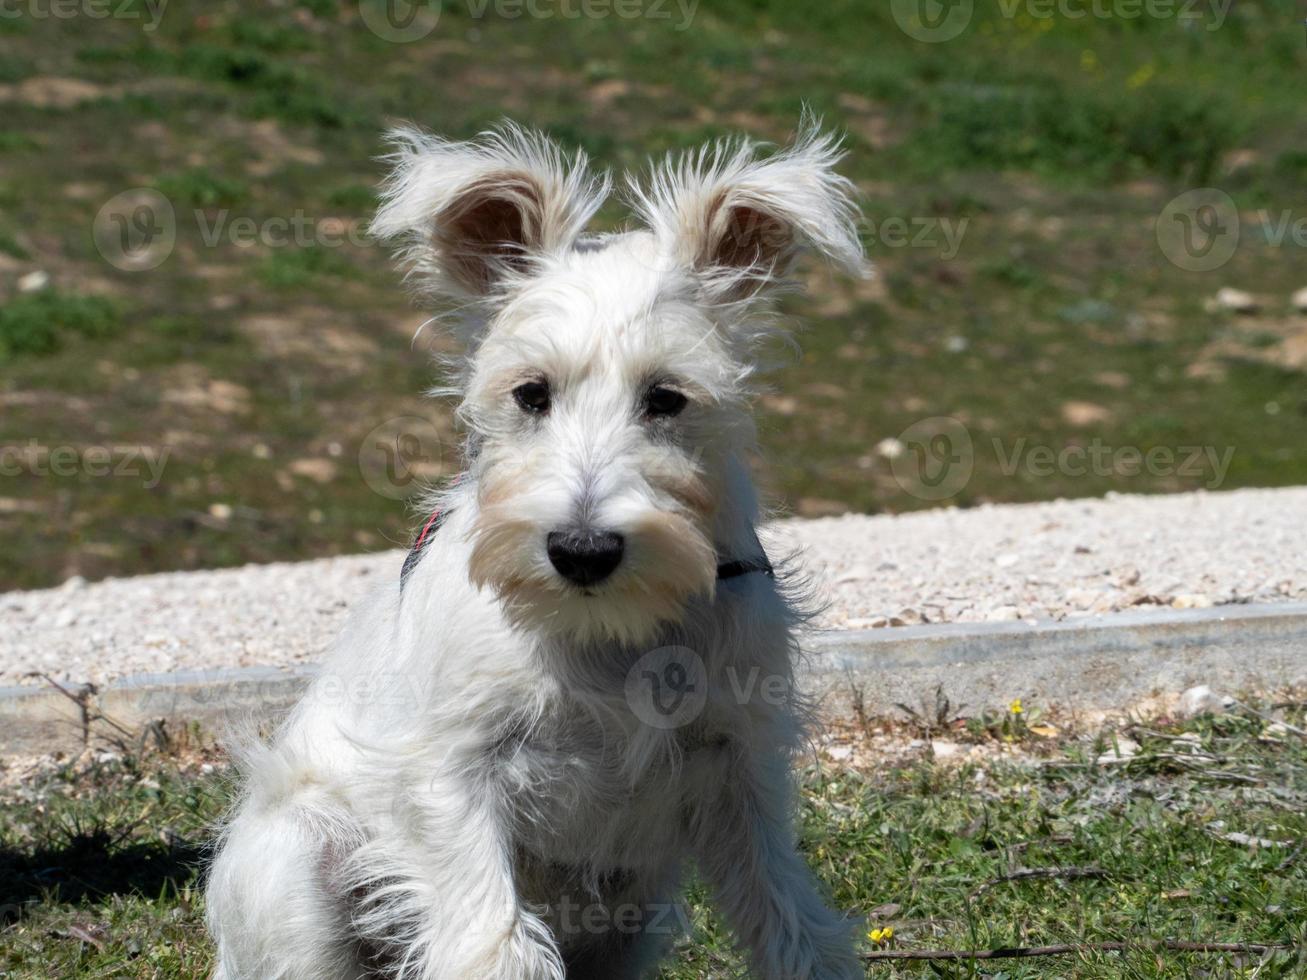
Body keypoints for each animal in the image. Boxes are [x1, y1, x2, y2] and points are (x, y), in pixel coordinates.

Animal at [203, 116, 867, 980]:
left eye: (666, 398)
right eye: (530, 394)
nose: (582, 550)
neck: (605, 636)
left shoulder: (738, 765)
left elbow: (789, 921)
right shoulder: (454, 775)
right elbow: (495, 940)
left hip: (630, 917)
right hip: (296, 872)